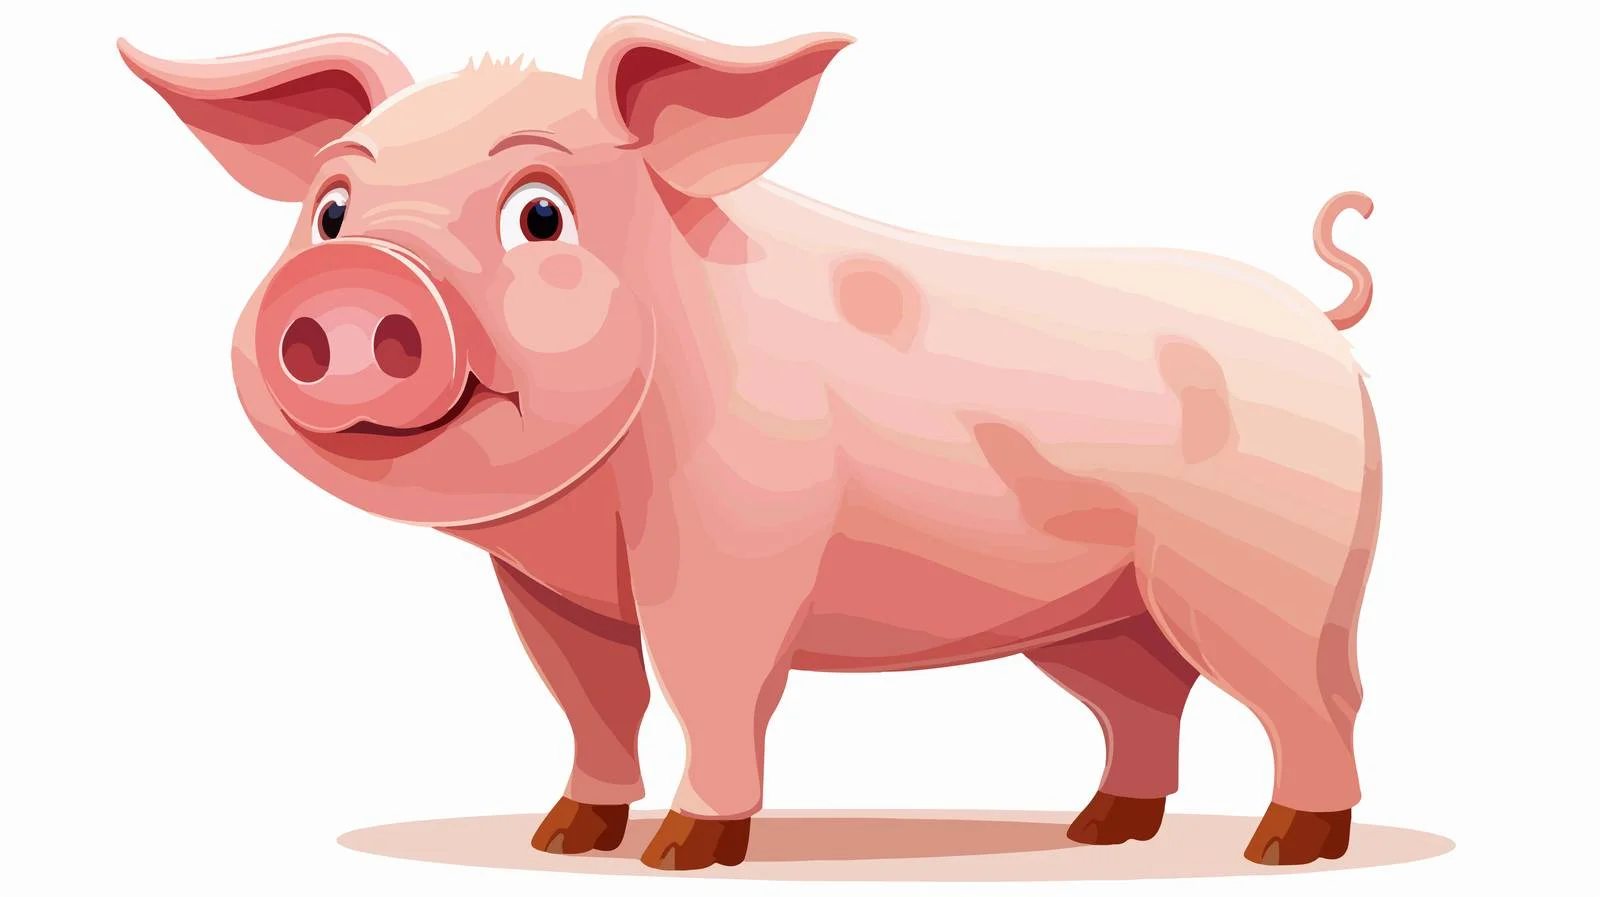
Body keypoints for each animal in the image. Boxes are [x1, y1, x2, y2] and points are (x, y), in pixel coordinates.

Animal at [118, 16, 1380, 872]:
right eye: (330, 210)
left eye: (540, 214)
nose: (351, 281)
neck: (591, 515)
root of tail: (1322, 324)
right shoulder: (550, 594)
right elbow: (589, 698)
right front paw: (561, 839)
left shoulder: (737, 548)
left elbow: (706, 679)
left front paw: (681, 852)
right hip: (1097, 616)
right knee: (1146, 700)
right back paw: (1100, 831)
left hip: (1276, 578)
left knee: (1316, 694)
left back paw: (1283, 846)